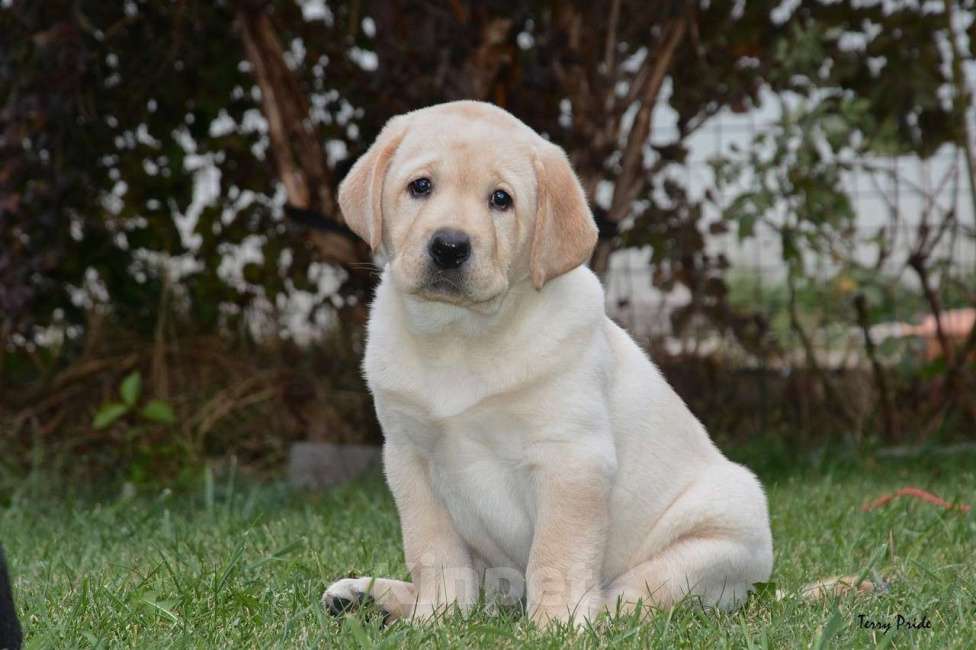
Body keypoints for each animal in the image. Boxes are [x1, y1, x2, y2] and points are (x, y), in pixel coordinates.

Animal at [324, 100, 772, 624]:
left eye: (501, 199)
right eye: (420, 186)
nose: (450, 246)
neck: (461, 337)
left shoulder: (571, 457)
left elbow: (556, 552)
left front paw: (556, 625)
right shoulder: (410, 458)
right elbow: (432, 551)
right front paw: (437, 616)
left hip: (721, 529)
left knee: (638, 593)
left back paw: (597, 613)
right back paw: (364, 595)